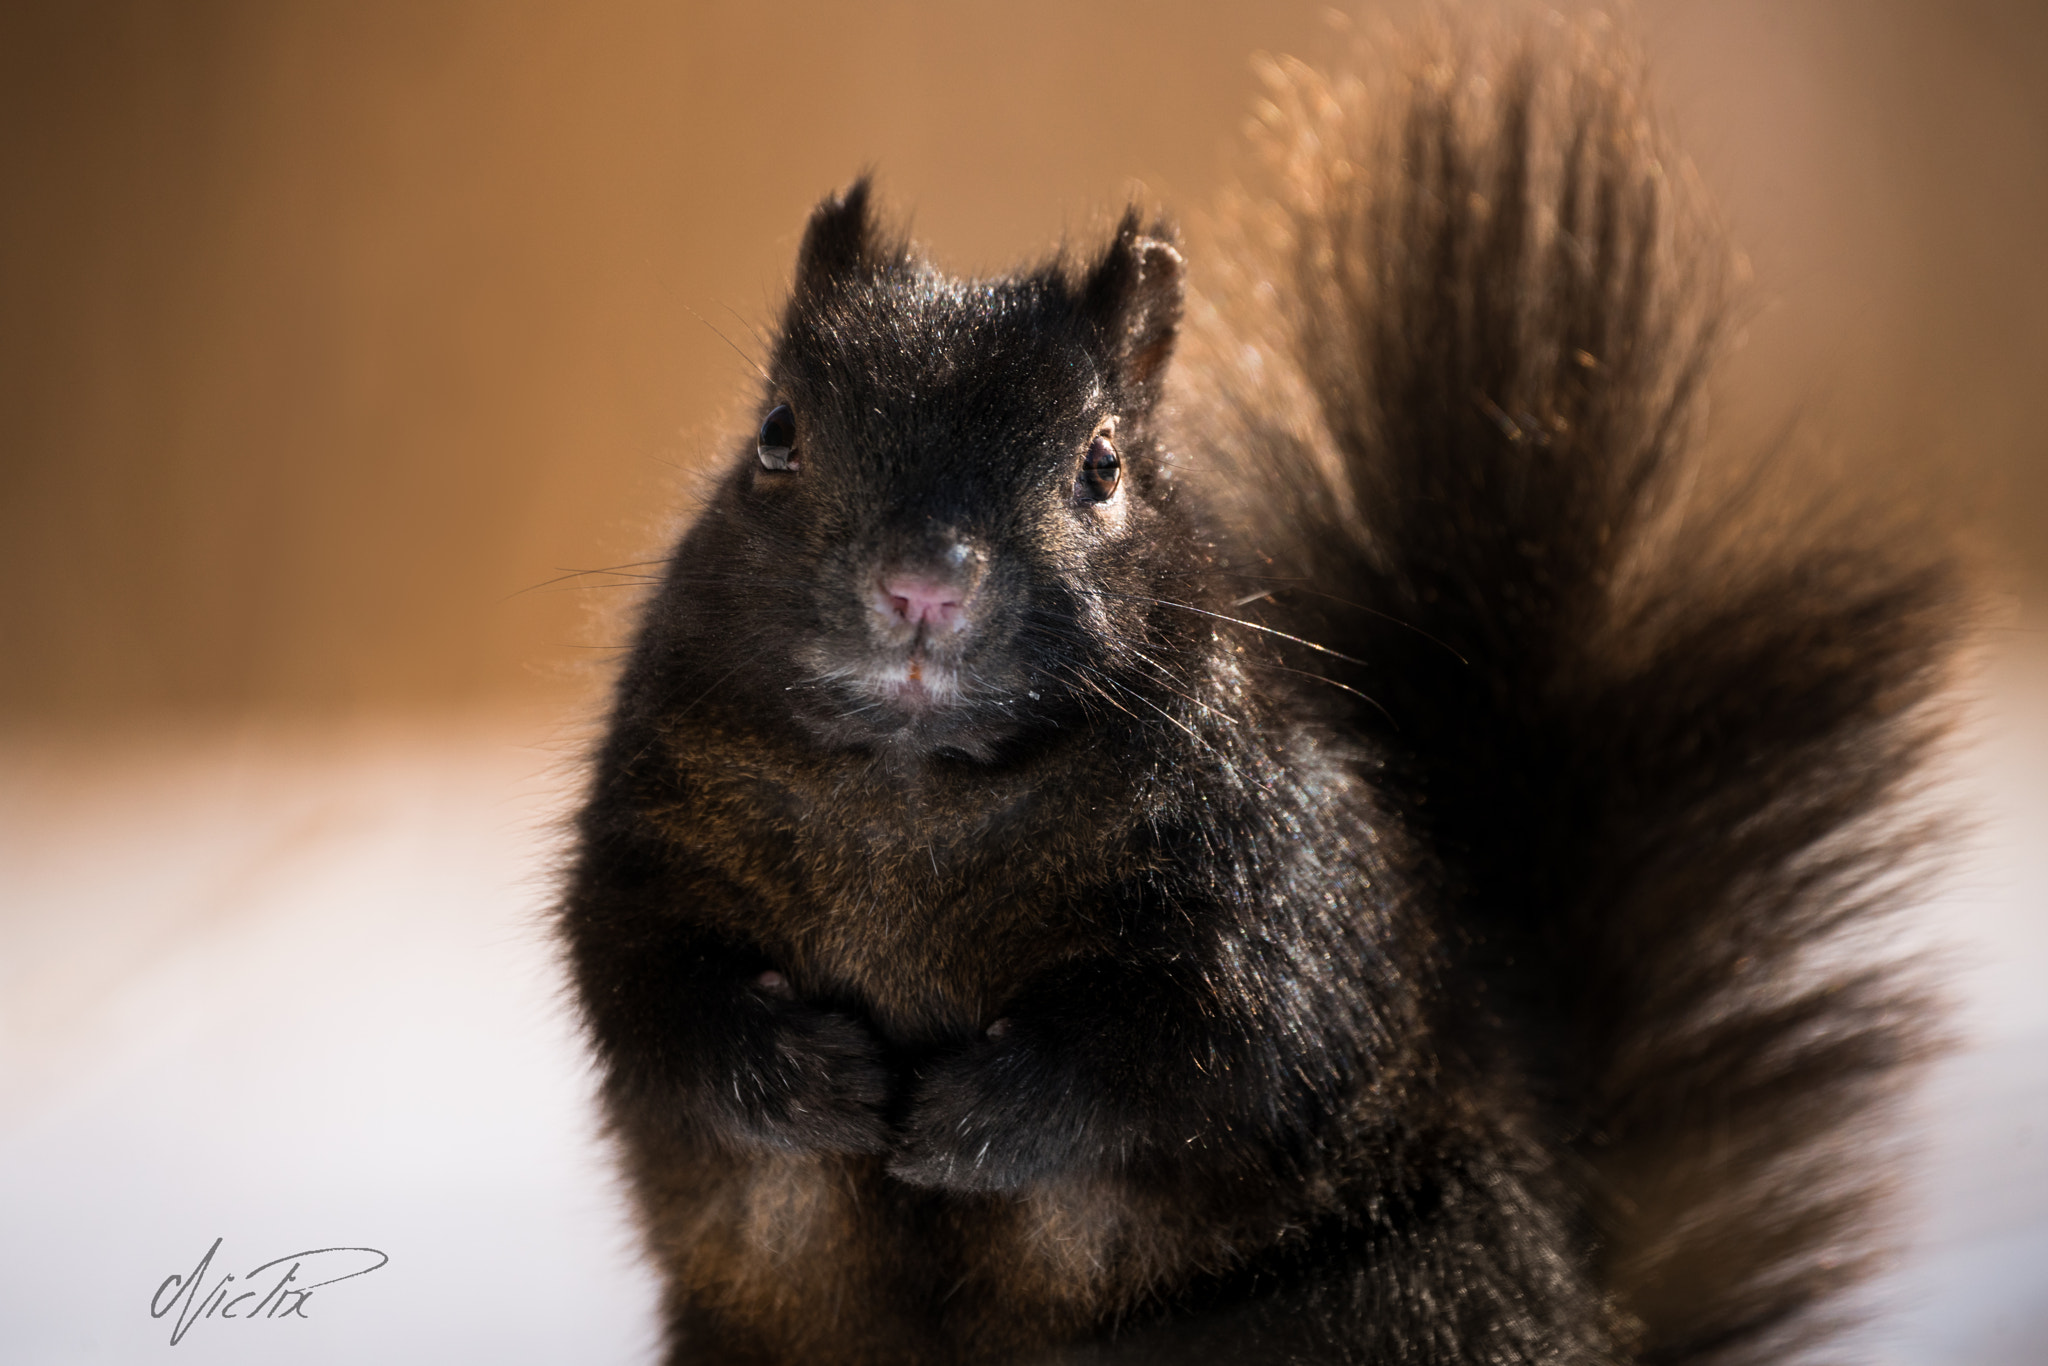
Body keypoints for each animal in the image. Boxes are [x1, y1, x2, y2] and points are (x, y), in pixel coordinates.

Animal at [561, 22, 1966, 1366]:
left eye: (1102, 465)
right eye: (776, 433)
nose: (920, 586)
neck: (913, 792)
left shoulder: (1271, 878)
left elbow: (1213, 1046)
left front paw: (977, 1114)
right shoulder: (652, 832)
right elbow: (641, 991)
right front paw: (805, 1079)